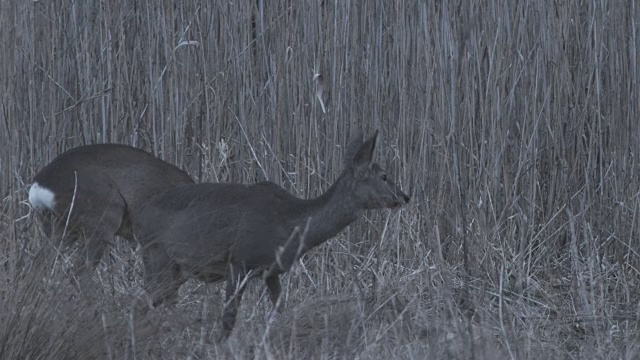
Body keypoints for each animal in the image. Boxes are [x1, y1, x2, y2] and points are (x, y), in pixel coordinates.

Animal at [134, 130, 410, 340]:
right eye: (384, 176)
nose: (405, 196)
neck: (289, 224)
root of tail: (140, 216)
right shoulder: (240, 261)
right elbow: (228, 319)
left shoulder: (272, 272)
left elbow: (279, 312)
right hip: (158, 256)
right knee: (143, 302)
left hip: (174, 270)